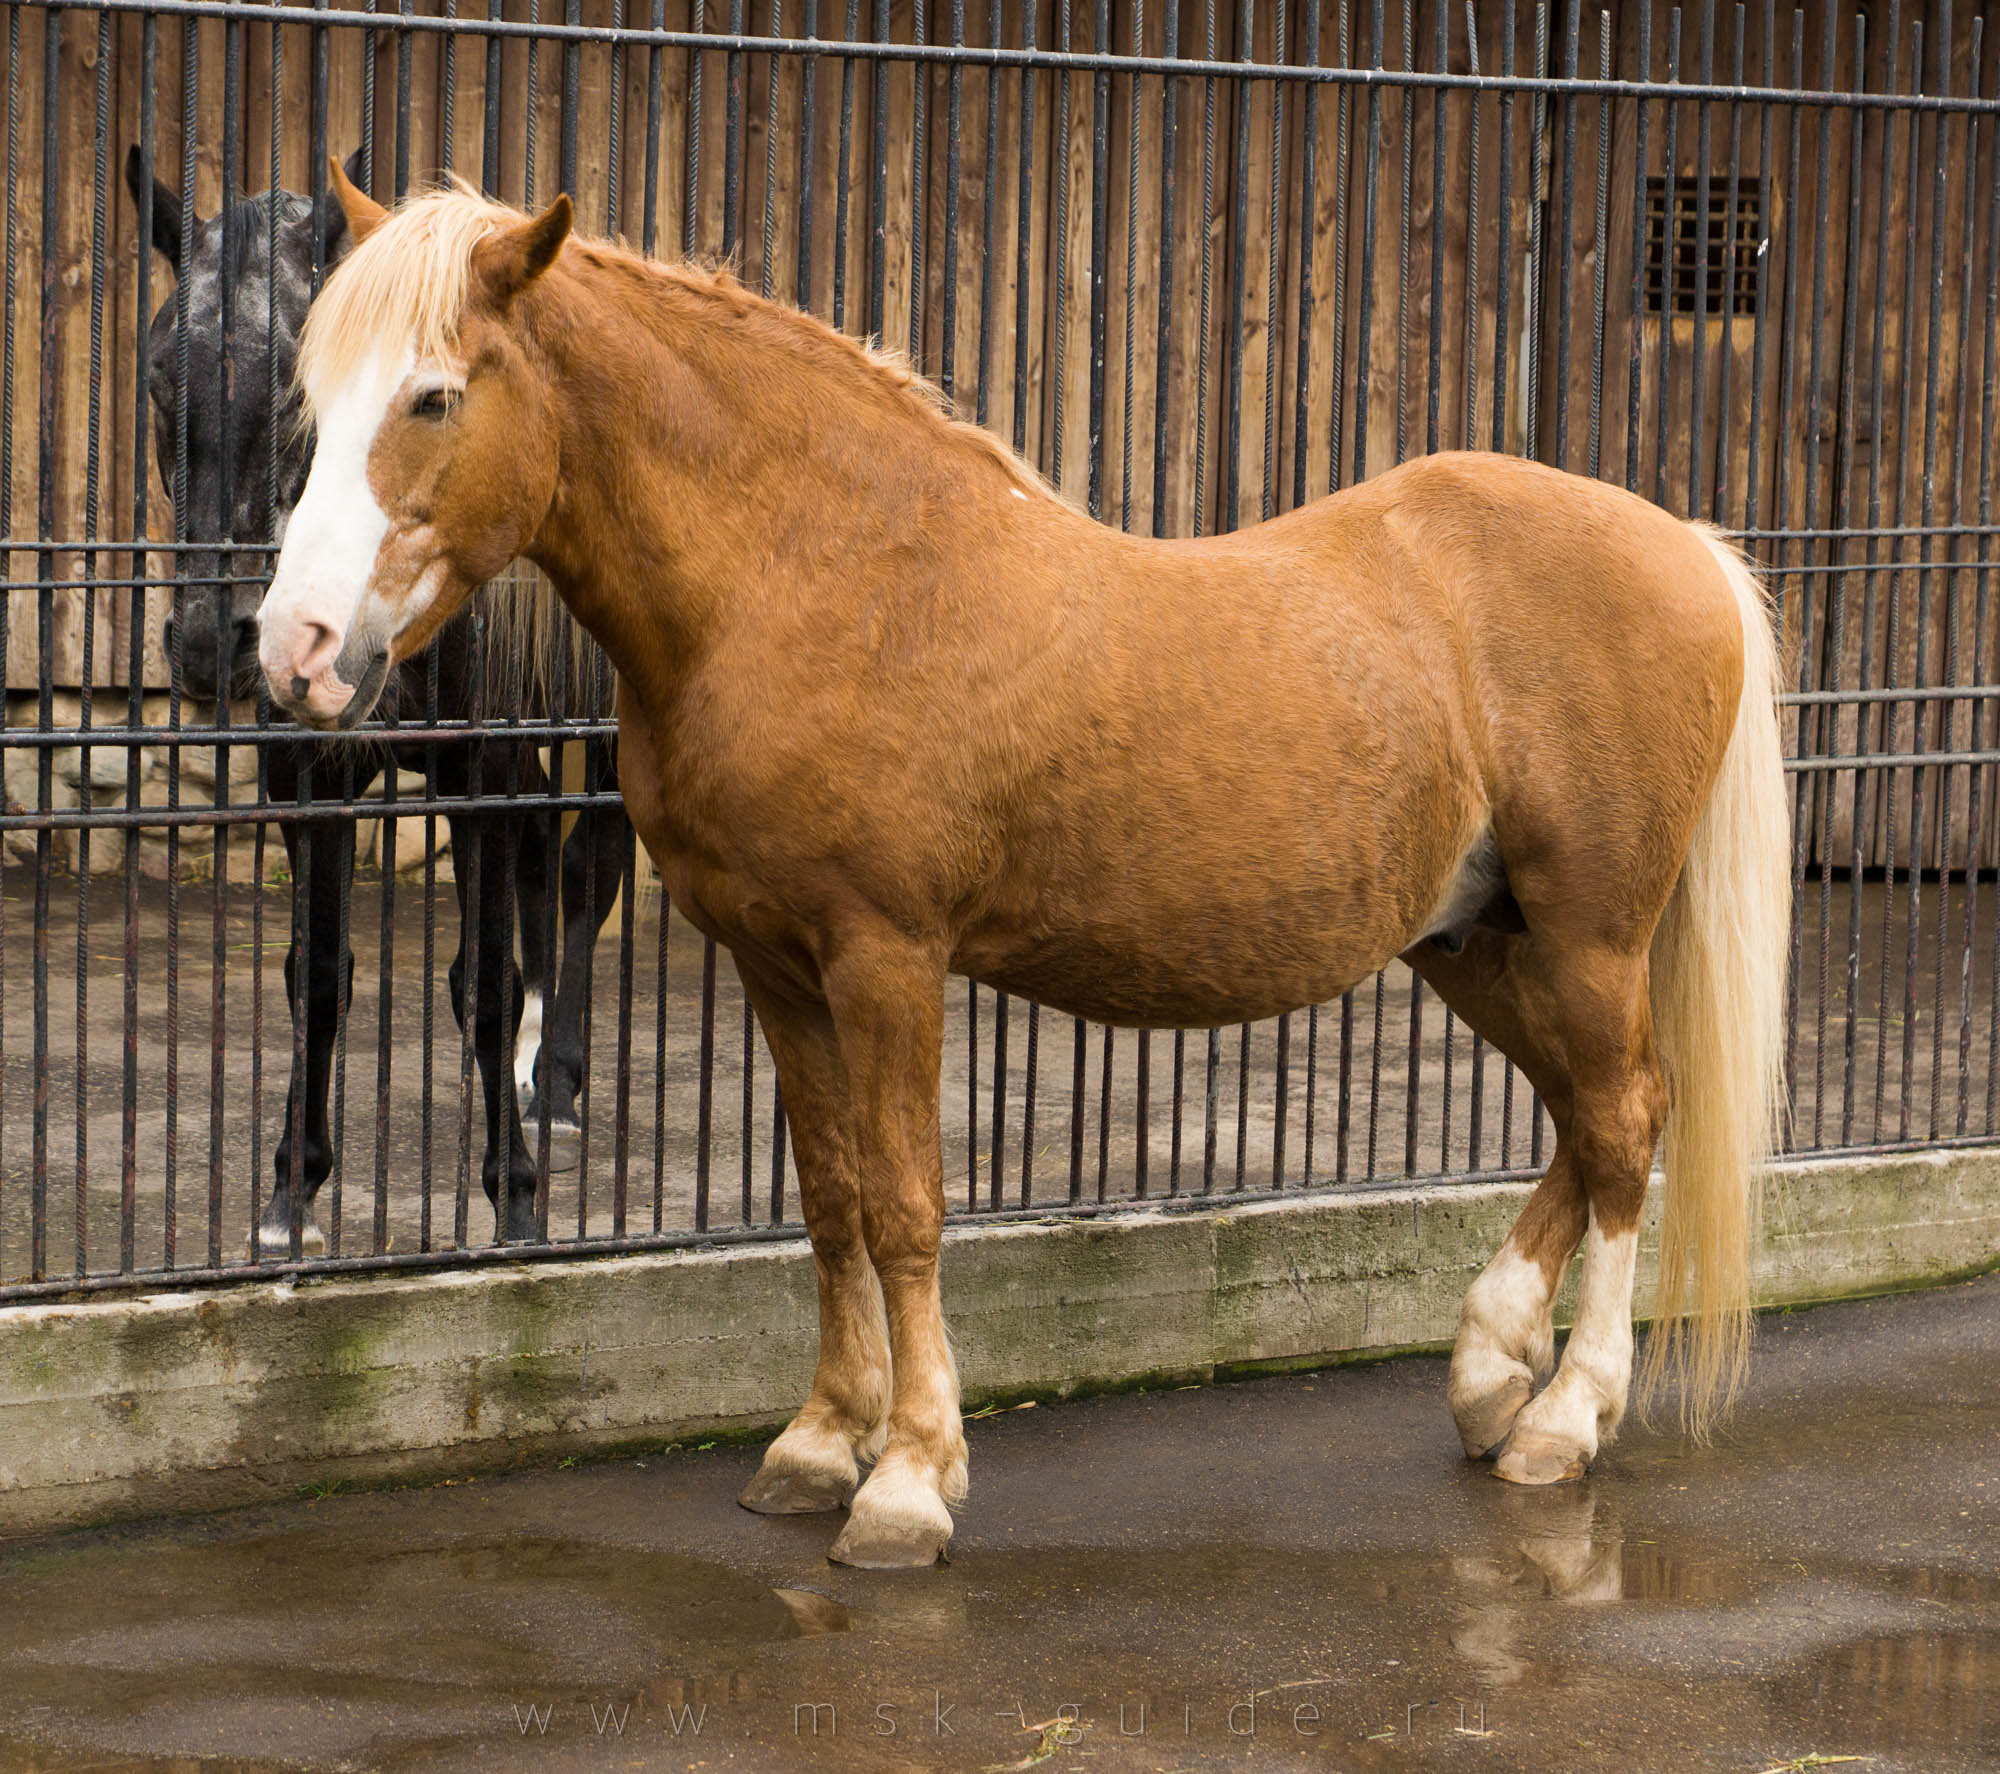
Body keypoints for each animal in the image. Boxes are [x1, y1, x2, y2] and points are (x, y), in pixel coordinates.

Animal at [124, 150, 631, 1250]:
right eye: (155, 380)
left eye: (292, 392)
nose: (210, 642)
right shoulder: (310, 777)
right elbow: (316, 976)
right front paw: (289, 1195)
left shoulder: (478, 767)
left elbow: (482, 983)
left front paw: (515, 1202)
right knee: (544, 864)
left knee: (587, 868)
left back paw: (559, 1091)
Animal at [255, 167, 1790, 1568]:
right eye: (315, 400)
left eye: (433, 397)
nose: (296, 651)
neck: (815, 574)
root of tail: (1684, 543)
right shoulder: (773, 961)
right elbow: (828, 1196)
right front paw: (819, 1442)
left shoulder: (886, 955)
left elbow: (904, 1206)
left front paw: (907, 1479)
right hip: (1473, 939)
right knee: (1586, 1118)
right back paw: (1486, 1372)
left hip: (1588, 934)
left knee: (1623, 1123)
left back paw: (1562, 1417)